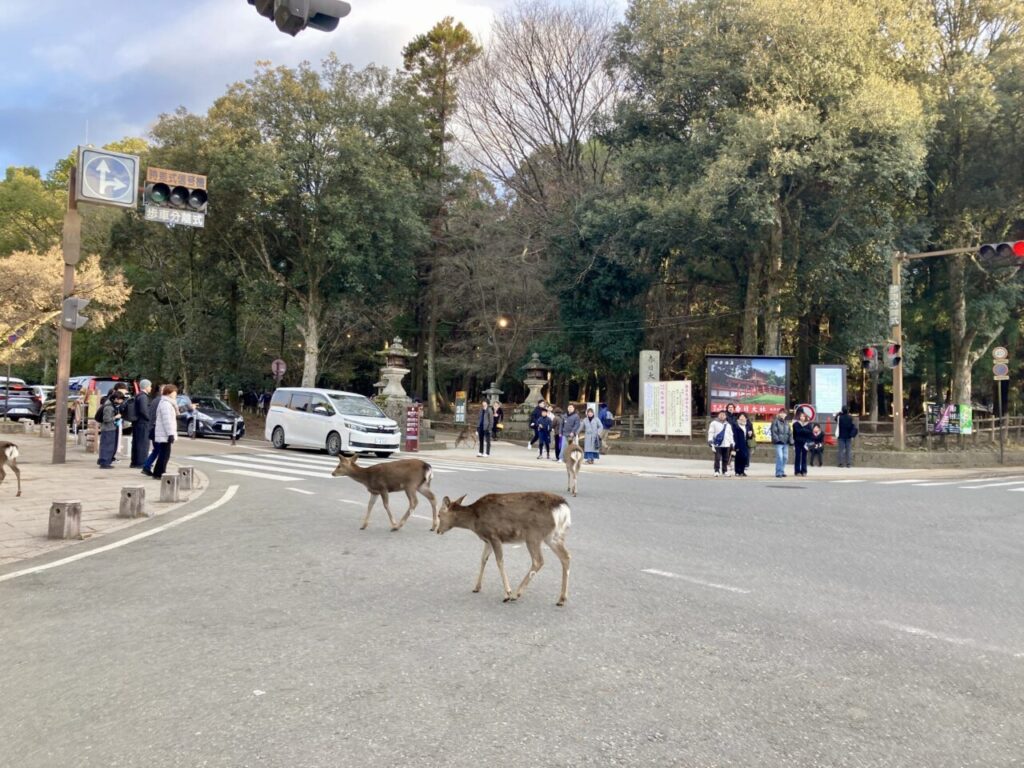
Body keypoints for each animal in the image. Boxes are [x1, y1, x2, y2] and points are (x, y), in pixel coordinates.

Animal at [436, 492, 572, 606]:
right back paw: (561, 599)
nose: (437, 530)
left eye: (439, 514)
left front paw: (507, 593)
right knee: (566, 556)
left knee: (538, 561)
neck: (474, 521)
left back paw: (516, 594)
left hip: (534, 535)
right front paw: (476, 587)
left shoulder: (494, 535)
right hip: (553, 536)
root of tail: (563, 508)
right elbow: (483, 559)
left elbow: (499, 561)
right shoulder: (487, 540)